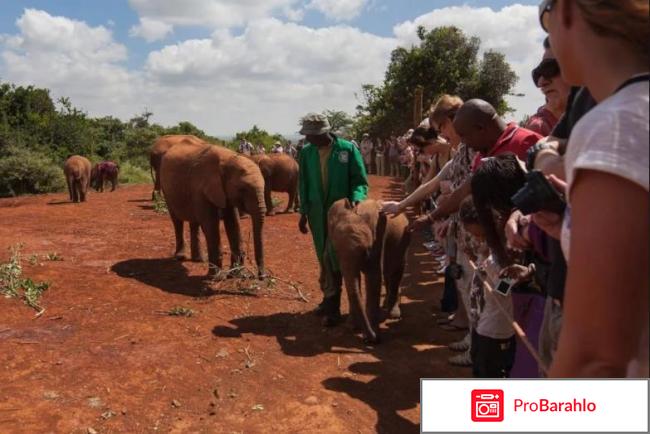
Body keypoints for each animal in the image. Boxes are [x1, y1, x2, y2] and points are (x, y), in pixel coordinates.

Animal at [159, 135, 266, 278]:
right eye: (242, 189)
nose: (262, 277)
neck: (228, 159)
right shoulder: (201, 188)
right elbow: (210, 224)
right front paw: (216, 277)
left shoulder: (224, 191)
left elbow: (233, 223)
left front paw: (236, 274)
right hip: (166, 189)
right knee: (177, 221)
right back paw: (181, 257)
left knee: (194, 222)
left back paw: (199, 259)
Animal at [326, 198, 408, 344]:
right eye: (335, 251)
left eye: (365, 251)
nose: (374, 338)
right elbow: (352, 281)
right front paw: (351, 327)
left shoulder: (378, 239)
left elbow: (373, 278)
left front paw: (371, 338)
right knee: (388, 273)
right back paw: (385, 305)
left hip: (403, 241)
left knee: (395, 271)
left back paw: (393, 314)